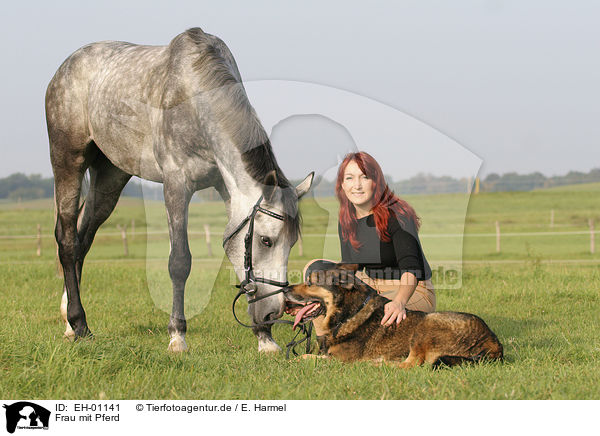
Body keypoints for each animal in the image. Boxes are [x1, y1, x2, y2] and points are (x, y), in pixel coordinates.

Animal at [45, 27, 314, 352]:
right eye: (265, 240)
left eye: (292, 242)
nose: (273, 314)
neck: (194, 98)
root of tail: (67, 66)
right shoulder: (176, 185)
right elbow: (179, 262)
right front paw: (177, 335)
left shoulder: (226, 187)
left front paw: (265, 339)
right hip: (67, 161)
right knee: (67, 240)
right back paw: (80, 323)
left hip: (110, 175)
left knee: (83, 238)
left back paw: (69, 323)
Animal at [284, 262, 504, 368]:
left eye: (310, 283)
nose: (284, 290)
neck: (349, 313)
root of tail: (494, 344)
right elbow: (308, 354)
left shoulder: (339, 359)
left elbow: (305, 357)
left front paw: (288, 361)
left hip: (427, 324)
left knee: (412, 365)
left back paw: (376, 364)